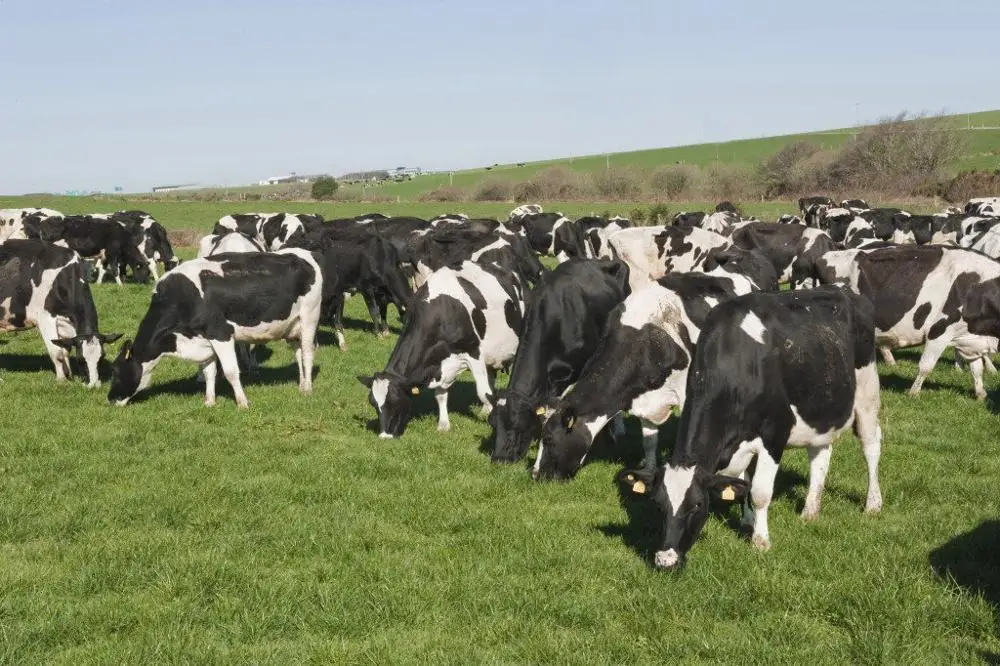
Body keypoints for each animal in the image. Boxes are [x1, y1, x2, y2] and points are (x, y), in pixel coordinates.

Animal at [0, 240, 122, 386]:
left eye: (102, 358)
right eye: (81, 359)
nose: (93, 385)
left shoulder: (64, 323)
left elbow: (65, 350)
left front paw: (69, 375)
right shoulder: (46, 318)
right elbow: (57, 352)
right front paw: (61, 380)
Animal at [107, 248, 324, 408]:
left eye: (116, 371)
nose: (109, 399)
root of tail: (306, 253)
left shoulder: (221, 333)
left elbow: (230, 371)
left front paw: (242, 403)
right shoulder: (204, 339)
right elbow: (209, 372)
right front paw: (210, 401)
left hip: (309, 318)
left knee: (307, 353)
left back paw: (308, 389)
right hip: (291, 327)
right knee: (298, 354)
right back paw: (302, 384)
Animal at [358, 261, 525, 438]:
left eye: (394, 400)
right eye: (373, 403)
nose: (384, 437)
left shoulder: (474, 354)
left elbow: (482, 392)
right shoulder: (440, 363)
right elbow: (440, 395)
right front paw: (443, 425)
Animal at [531, 256, 777, 481]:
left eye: (549, 439)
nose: (535, 475)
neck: (648, 340)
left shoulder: (686, 394)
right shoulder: (644, 396)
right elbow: (649, 440)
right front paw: (648, 472)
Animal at [623, 287, 882, 570]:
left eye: (697, 505)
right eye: (659, 504)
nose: (665, 560)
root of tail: (843, 290)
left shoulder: (774, 434)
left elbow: (759, 491)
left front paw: (760, 541)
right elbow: (742, 483)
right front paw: (747, 521)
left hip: (867, 391)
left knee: (871, 446)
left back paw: (873, 504)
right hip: (820, 408)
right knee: (820, 456)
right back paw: (810, 511)